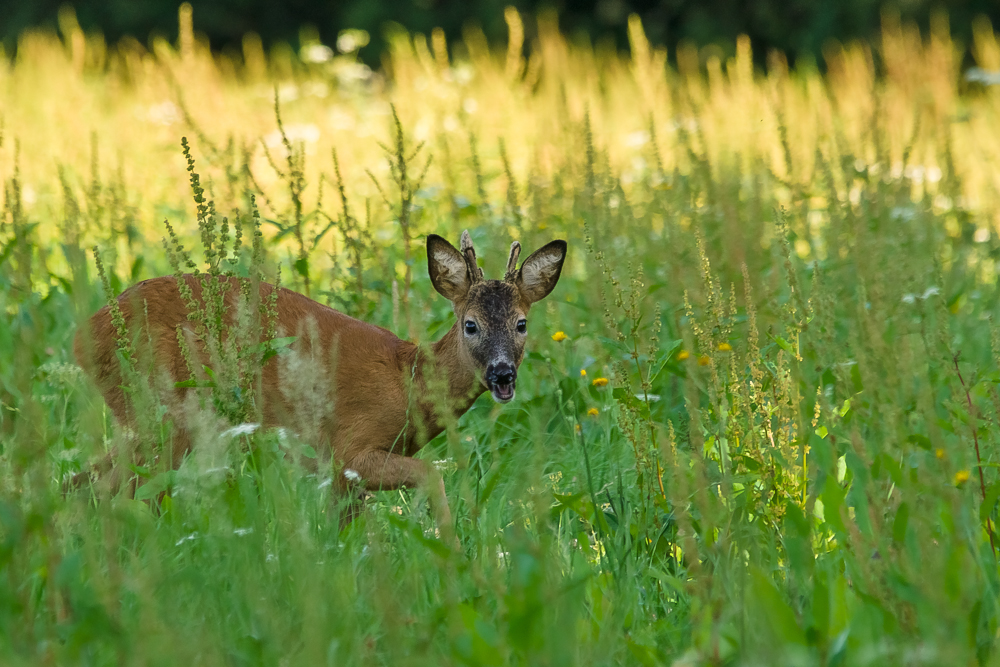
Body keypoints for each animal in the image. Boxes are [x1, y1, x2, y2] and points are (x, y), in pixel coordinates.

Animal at [74, 232, 568, 540]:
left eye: (521, 324)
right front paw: (453, 552)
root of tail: (83, 337)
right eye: (470, 325)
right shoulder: (349, 447)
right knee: (128, 490)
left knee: (87, 483)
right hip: (161, 412)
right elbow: (430, 474)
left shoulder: (336, 471)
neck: (407, 380)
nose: (502, 375)